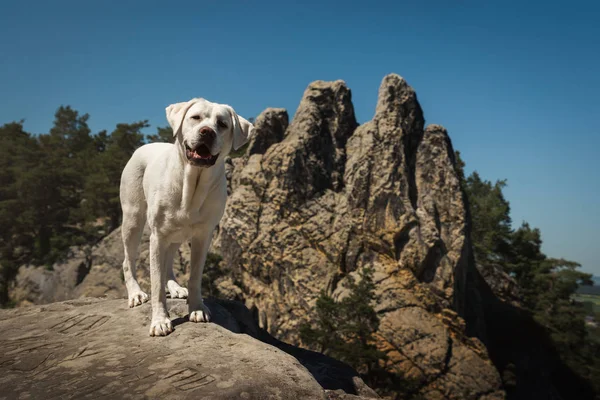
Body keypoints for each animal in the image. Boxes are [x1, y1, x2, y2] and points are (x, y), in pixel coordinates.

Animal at [119, 98, 253, 336]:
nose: (207, 132)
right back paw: (135, 294)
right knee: (128, 261)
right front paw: (160, 321)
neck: (191, 184)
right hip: (133, 219)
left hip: (176, 233)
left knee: (168, 261)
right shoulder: (157, 237)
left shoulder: (203, 236)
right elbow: (156, 284)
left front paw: (197, 308)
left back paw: (174, 287)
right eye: (196, 117)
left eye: (222, 124)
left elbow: (195, 276)